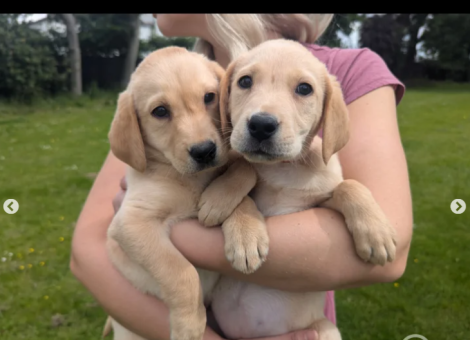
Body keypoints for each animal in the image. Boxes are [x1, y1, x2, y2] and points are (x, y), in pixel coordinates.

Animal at [103, 45, 268, 340]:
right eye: (160, 111)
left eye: (209, 97)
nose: (204, 151)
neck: (190, 179)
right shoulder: (131, 223)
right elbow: (180, 271)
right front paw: (188, 325)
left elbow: (242, 173)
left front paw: (245, 233)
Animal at [200, 39, 398, 340]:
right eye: (245, 81)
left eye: (304, 89)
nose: (261, 125)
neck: (283, 169)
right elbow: (244, 173)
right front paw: (240, 228)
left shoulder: (319, 202)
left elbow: (348, 186)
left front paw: (377, 234)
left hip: (327, 330)